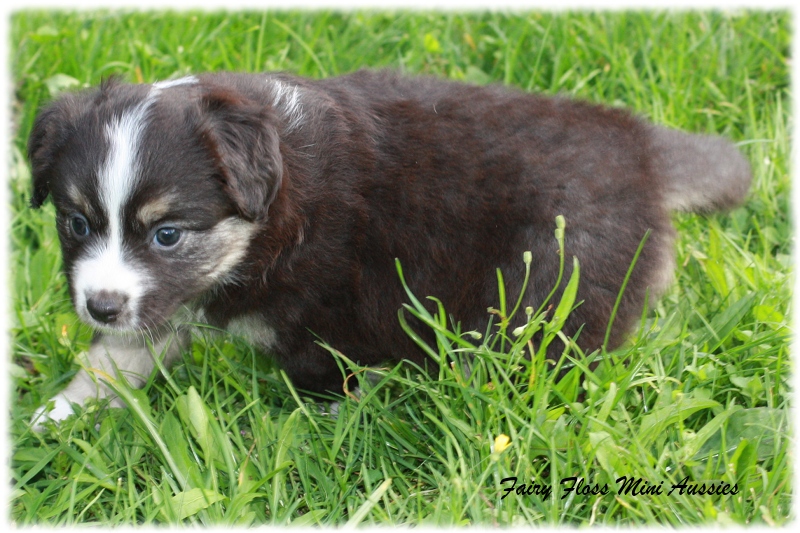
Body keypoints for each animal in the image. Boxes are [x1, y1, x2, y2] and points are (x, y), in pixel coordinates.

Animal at [25, 71, 752, 428]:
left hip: (552, 286)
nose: (99, 305)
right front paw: (54, 417)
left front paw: (329, 423)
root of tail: (643, 147)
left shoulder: (339, 304)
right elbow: (116, 357)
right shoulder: (165, 300)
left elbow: (334, 373)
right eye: (77, 223)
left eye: (167, 233)